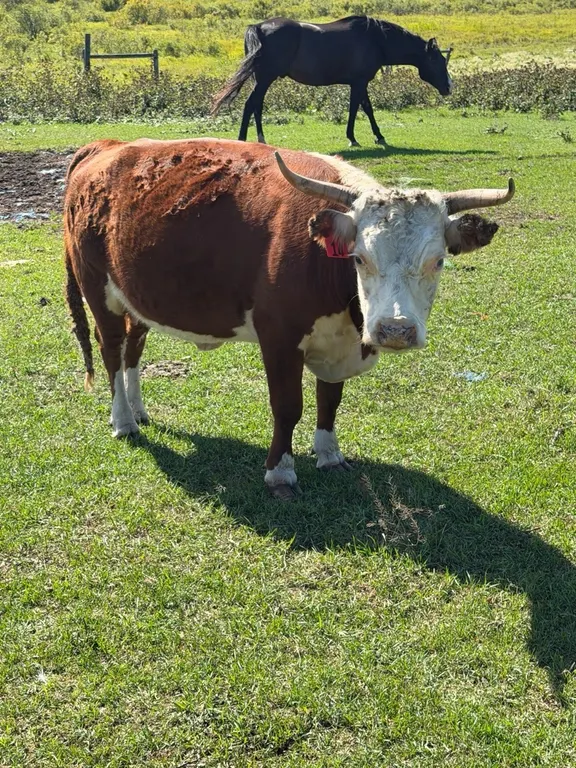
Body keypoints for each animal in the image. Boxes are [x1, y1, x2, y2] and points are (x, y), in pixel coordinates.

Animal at [64, 138, 514, 499]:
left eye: (438, 261)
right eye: (359, 258)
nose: (395, 331)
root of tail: (107, 146)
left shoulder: (338, 342)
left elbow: (330, 399)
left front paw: (329, 454)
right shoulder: (279, 338)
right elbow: (287, 406)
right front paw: (280, 473)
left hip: (136, 295)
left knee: (133, 348)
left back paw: (138, 410)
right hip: (97, 289)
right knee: (111, 350)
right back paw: (123, 420)